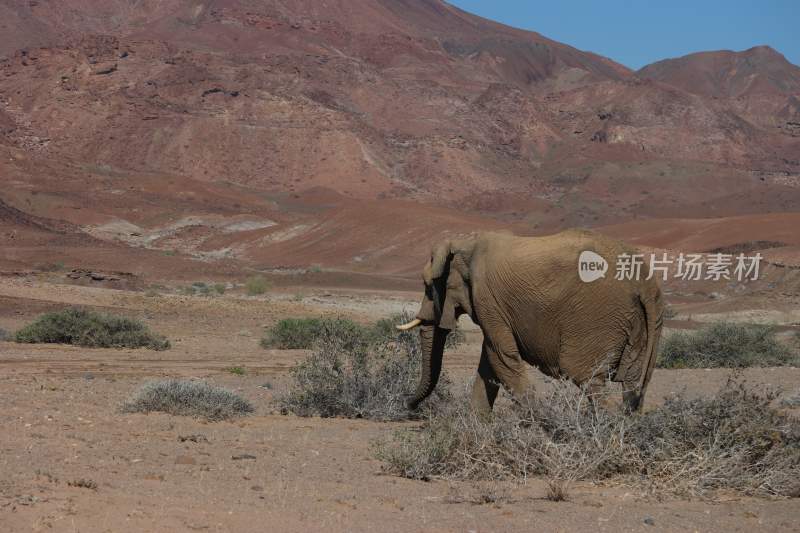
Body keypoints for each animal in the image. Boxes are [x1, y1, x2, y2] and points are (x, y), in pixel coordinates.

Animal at [396, 228, 664, 412]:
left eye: (427, 286)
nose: (406, 404)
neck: (465, 242)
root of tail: (645, 284)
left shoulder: (487, 298)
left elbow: (501, 358)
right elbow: (489, 363)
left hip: (598, 319)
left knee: (588, 381)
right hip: (644, 324)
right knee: (632, 385)